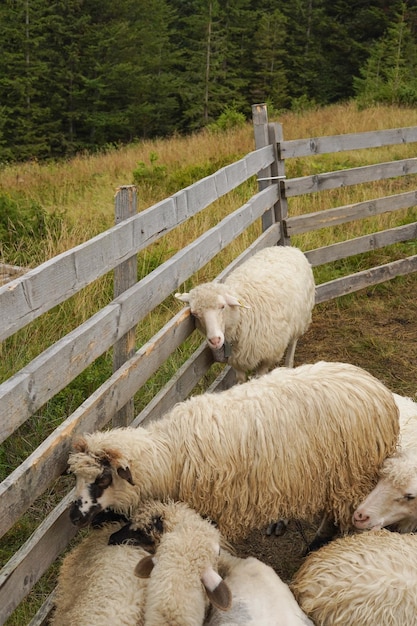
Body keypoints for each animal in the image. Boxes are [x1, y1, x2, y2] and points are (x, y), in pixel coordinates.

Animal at [69, 358, 400, 544]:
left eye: (102, 480)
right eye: (76, 479)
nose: (73, 517)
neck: (171, 453)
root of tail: (372, 383)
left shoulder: (220, 505)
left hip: (349, 474)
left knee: (336, 514)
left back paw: (316, 542)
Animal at [174, 243, 314, 380]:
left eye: (222, 306)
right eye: (195, 314)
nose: (215, 341)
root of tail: (288, 248)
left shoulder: (267, 357)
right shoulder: (236, 361)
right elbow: (240, 380)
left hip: (300, 318)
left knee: (293, 342)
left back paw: (289, 364)